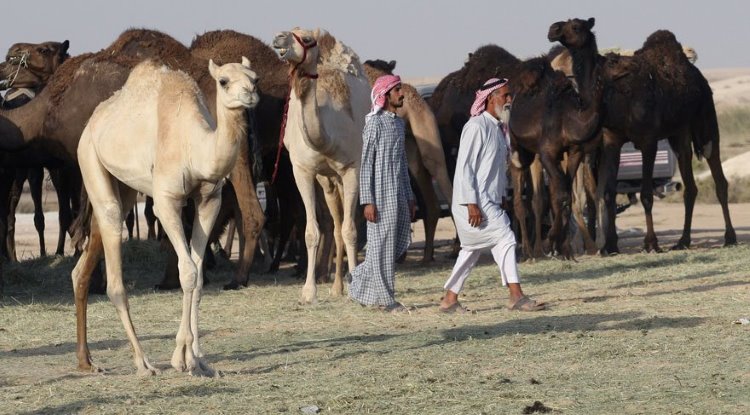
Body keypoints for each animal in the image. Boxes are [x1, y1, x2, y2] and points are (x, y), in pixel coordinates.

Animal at [71, 57, 258, 376]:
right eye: (223, 81)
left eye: (254, 78)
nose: (250, 94)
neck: (195, 146)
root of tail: (93, 121)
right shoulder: (166, 202)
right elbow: (187, 271)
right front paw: (181, 358)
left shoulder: (210, 200)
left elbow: (198, 274)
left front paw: (199, 360)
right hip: (89, 157)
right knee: (114, 266)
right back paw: (143, 362)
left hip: (122, 185)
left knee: (86, 256)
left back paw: (86, 361)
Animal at [274, 28, 374, 302]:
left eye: (307, 39)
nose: (279, 38)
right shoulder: (303, 171)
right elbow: (311, 232)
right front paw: (309, 291)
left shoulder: (351, 169)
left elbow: (351, 230)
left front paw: (355, 289)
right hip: (327, 180)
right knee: (335, 225)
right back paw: (337, 286)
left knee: (344, 226)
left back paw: (345, 283)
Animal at [596, 30, 736, 252]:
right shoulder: (612, 140)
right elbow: (609, 192)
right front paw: (609, 246)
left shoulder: (648, 141)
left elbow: (646, 194)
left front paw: (651, 243)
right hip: (679, 134)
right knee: (690, 184)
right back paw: (683, 241)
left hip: (706, 121)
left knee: (718, 175)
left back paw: (729, 237)